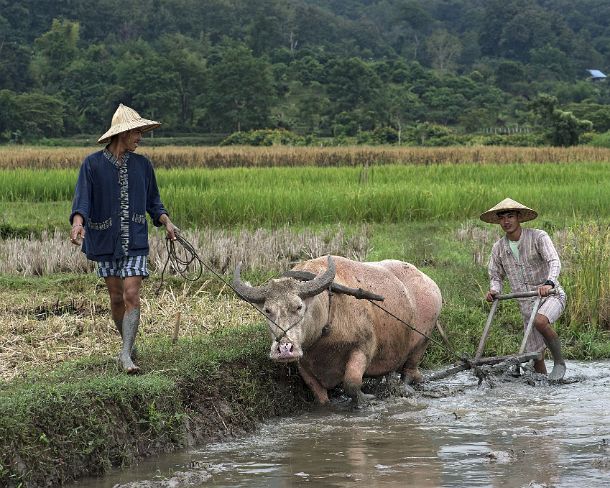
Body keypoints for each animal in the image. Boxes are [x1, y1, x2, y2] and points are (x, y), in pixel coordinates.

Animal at [234, 255, 442, 404]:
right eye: (267, 310)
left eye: (299, 306)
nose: (284, 349)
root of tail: (430, 283)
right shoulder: (304, 363)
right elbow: (319, 394)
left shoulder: (362, 348)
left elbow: (351, 383)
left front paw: (366, 398)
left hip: (423, 340)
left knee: (410, 369)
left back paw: (406, 386)